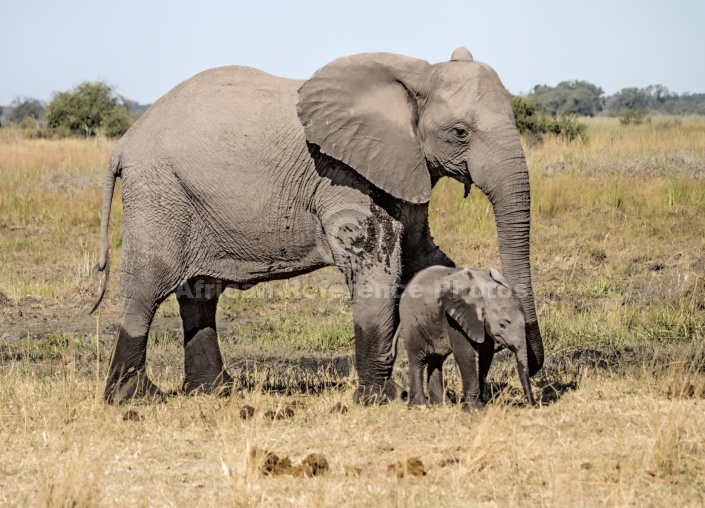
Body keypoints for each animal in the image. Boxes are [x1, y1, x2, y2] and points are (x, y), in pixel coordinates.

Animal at [396, 266, 532, 408]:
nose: (530, 404)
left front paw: (481, 402)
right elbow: (464, 352)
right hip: (411, 320)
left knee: (436, 359)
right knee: (418, 358)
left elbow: (485, 354)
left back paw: (441, 404)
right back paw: (420, 405)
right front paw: (475, 409)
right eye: (502, 325)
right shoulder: (455, 317)